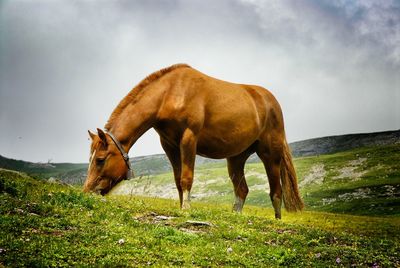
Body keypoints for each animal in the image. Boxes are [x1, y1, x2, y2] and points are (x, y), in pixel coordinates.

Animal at [83, 63, 304, 219]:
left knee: (276, 192)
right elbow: (177, 180)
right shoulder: (170, 145)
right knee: (242, 190)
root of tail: (270, 101)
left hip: (270, 156)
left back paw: (277, 219)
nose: (86, 191)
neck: (170, 92)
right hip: (236, 158)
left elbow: (186, 178)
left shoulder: (189, 139)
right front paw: (181, 207)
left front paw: (186, 209)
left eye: (100, 159)